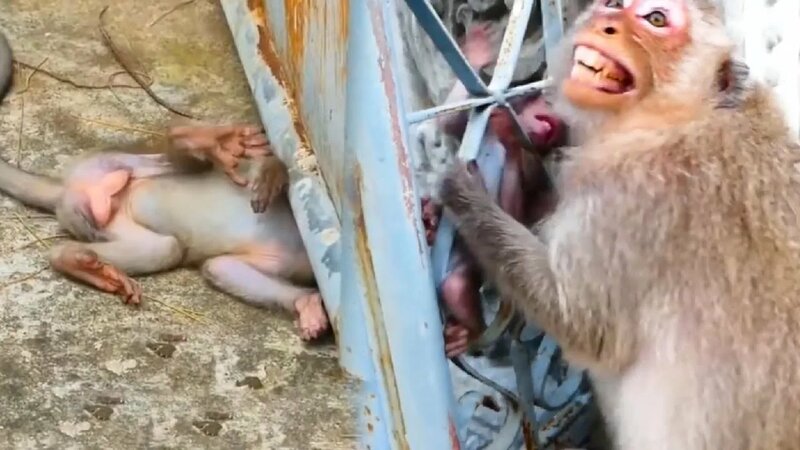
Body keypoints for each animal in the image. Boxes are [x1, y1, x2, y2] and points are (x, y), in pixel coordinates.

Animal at [0, 124, 329, 341]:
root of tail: (69, 189)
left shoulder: (286, 262)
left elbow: (221, 267)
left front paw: (308, 304)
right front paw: (273, 174)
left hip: (106, 224)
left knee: (164, 248)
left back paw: (74, 258)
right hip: (106, 162)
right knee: (179, 161)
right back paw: (204, 141)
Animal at [439, 0, 800, 448]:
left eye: (656, 20)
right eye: (615, 5)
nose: (605, 20)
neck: (686, 117)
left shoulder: (632, 192)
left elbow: (580, 321)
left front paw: (465, 194)